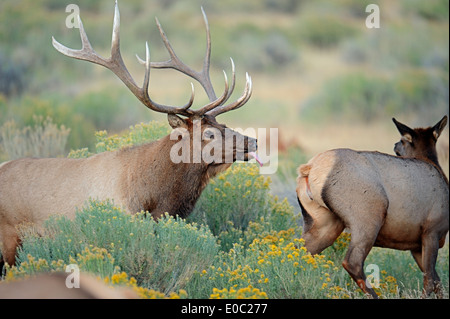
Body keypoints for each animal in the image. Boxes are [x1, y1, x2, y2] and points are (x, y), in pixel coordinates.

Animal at [298, 117, 448, 300]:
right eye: (401, 143)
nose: (395, 145)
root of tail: (309, 169)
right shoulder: (431, 231)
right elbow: (431, 280)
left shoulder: (416, 245)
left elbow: (437, 281)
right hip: (369, 216)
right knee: (353, 262)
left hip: (324, 223)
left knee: (300, 250)